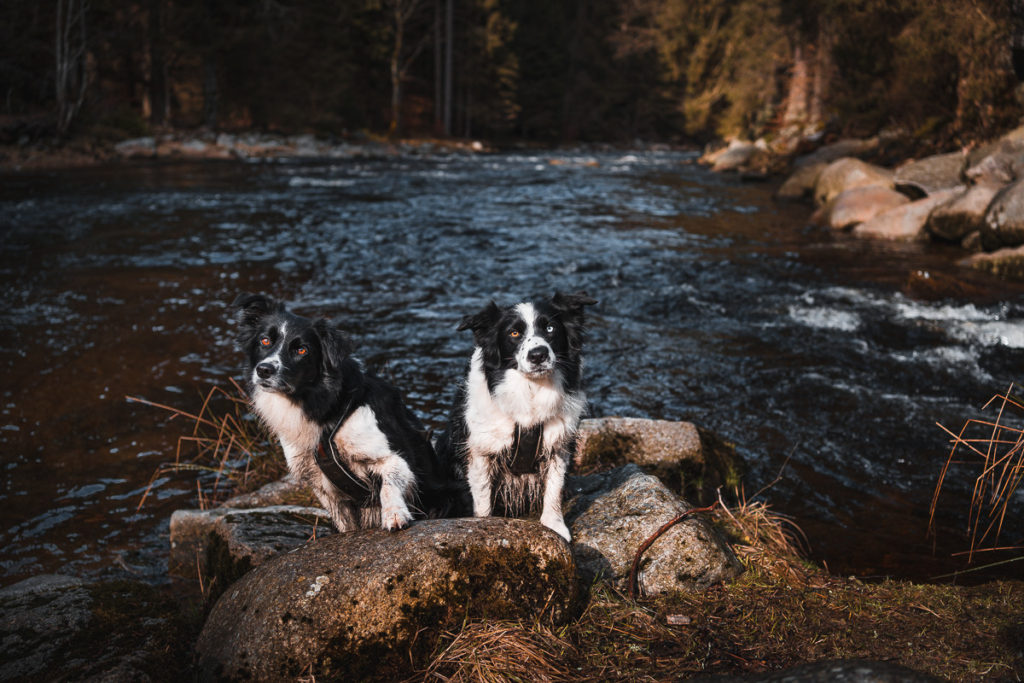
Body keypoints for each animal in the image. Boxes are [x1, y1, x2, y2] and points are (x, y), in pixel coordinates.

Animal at [234, 294, 458, 532]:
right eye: (265, 341)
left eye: (302, 350)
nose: (264, 370)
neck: (327, 408)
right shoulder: (324, 486)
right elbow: (346, 525)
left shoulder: (395, 457)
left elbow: (388, 485)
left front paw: (395, 514)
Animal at [434, 290, 598, 540]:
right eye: (514, 333)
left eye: (550, 328)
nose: (538, 355)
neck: (531, 390)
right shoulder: (480, 452)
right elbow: (482, 499)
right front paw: (483, 525)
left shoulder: (558, 443)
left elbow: (554, 489)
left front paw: (554, 526)